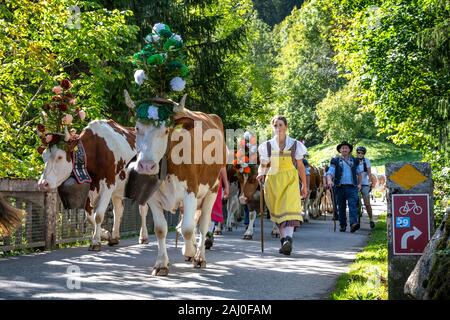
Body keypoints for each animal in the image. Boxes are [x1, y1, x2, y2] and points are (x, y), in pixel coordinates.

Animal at [37, 79, 149, 249]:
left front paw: (96, 241)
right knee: (118, 209)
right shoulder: (90, 186)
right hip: (119, 187)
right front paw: (105, 235)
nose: (43, 183)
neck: (96, 149)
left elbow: (99, 214)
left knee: (143, 208)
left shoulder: (108, 183)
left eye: (60, 157)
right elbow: (89, 216)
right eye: (44, 156)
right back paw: (115, 236)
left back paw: (143, 237)